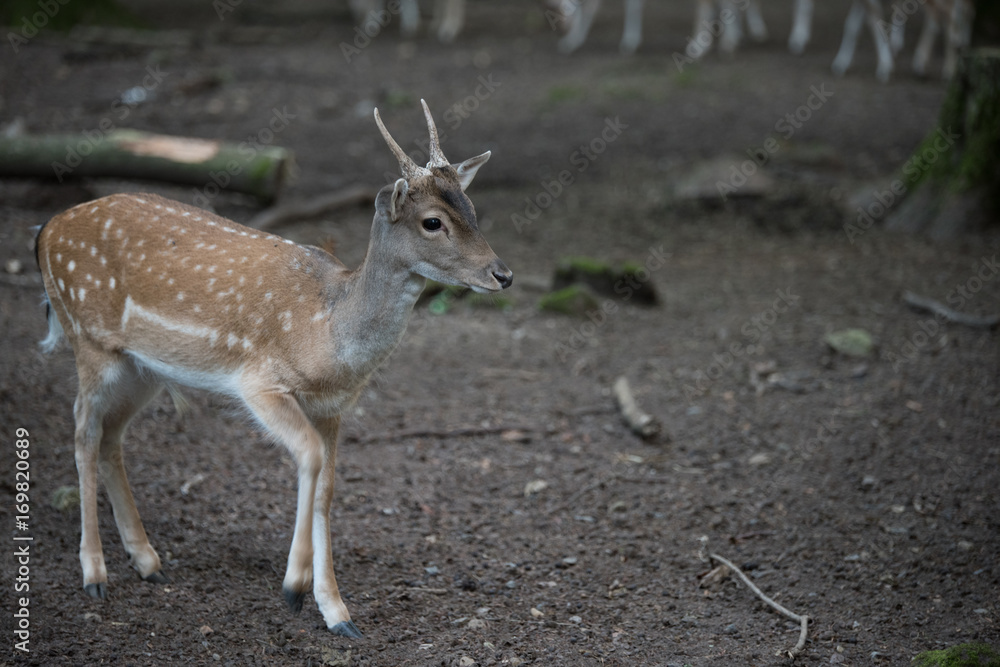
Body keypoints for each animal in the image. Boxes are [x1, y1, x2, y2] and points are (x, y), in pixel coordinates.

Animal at [35, 100, 512, 638]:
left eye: (471, 210)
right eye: (433, 222)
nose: (503, 275)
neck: (327, 336)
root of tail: (45, 231)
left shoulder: (332, 408)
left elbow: (327, 487)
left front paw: (338, 613)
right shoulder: (258, 382)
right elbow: (308, 456)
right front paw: (294, 588)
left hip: (142, 367)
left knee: (111, 436)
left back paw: (149, 562)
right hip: (88, 338)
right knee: (83, 431)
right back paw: (95, 574)